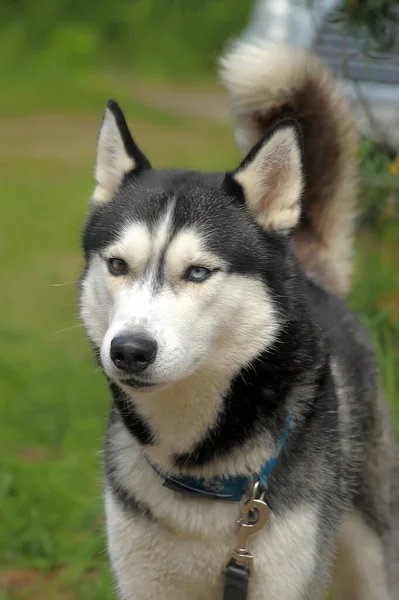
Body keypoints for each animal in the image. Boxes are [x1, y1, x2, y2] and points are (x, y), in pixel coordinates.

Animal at [79, 42, 398, 600]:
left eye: (198, 271)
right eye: (117, 265)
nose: (130, 350)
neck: (197, 470)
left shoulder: (282, 575)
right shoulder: (143, 579)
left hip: (370, 545)